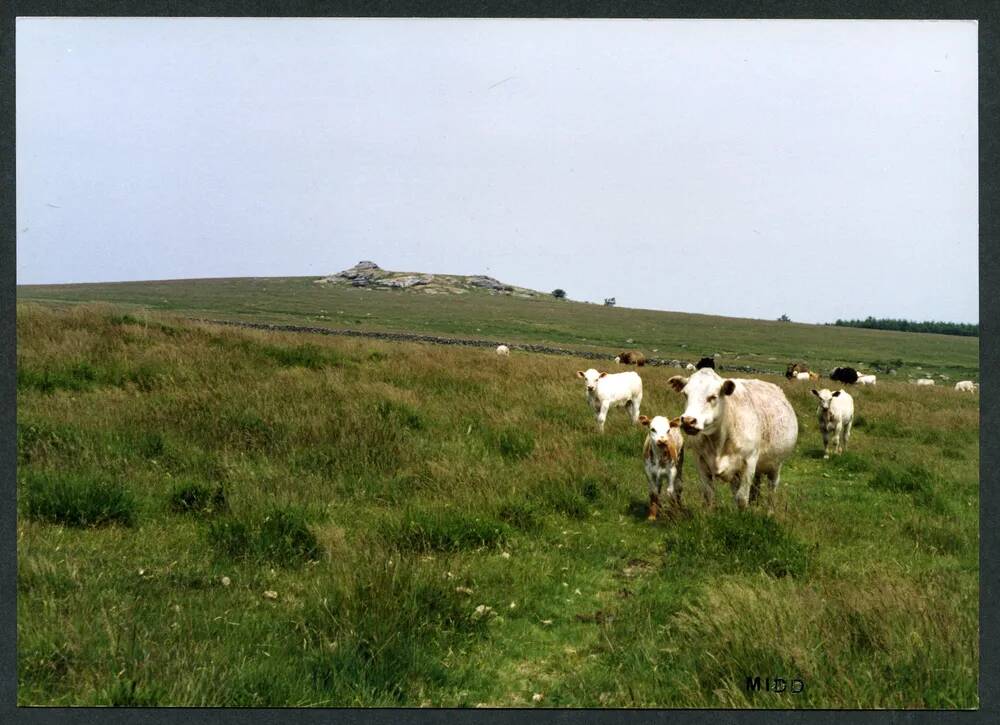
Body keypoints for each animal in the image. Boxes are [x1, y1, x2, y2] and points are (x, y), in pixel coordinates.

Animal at [668, 368, 800, 510]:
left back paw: (770, 510)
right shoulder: (700, 460)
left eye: (713, 397)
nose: (688, 421)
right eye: (685, 394)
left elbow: (741, 498)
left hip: (775, 466)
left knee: (771, 490)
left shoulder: (749, 461)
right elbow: (709, 495)